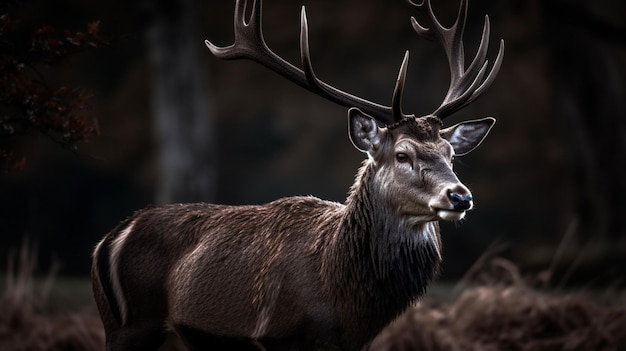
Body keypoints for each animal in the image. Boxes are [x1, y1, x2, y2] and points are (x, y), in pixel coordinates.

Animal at [91, 0, 502, 351]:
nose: (460, 196)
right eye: (403, 154)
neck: (342, 306)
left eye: (451, 154)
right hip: (129, 324)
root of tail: (108, 239)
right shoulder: (282, 337)